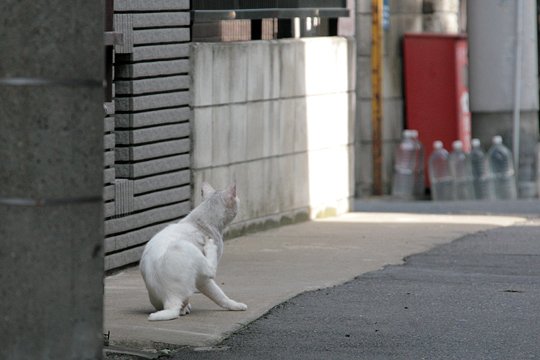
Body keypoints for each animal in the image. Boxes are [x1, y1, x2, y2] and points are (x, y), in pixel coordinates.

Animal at [140, 183, 248, 320]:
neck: (203, 219)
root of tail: (170, 297)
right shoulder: (204, 279)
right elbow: (218, 294)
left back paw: (185, 307)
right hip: (186, 248)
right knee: (211, 272)